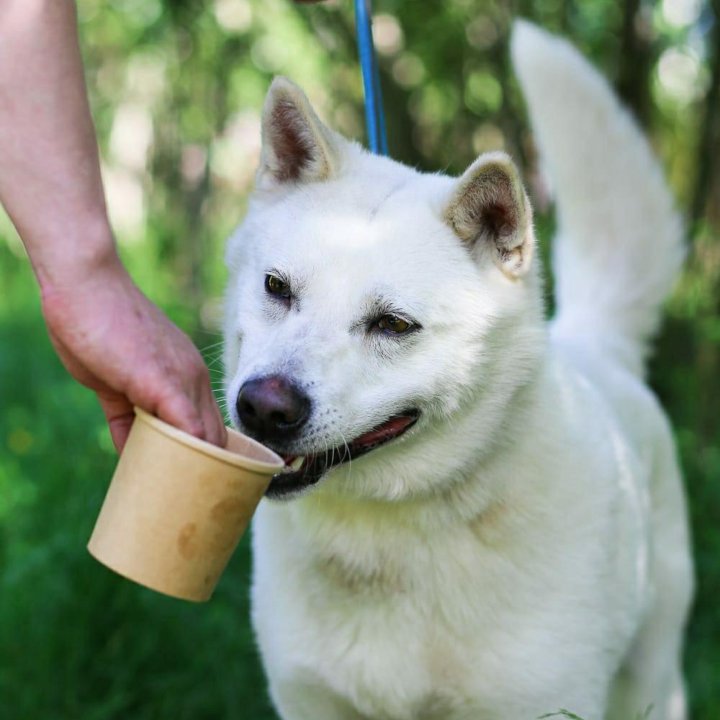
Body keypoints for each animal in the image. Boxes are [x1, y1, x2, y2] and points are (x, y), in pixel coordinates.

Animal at [222, 19, 696, 716]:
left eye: (393, 325)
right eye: (277, 287)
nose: (263, 407)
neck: (387, 536)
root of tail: (594, 340)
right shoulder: (309, 698)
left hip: (652, 677)